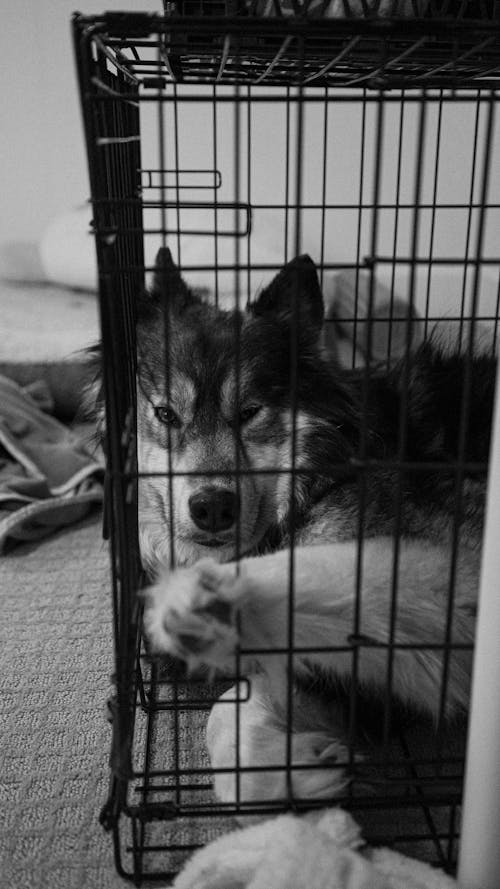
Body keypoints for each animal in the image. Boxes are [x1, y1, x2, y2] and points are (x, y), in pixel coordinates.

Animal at [135, 248, 494, 812]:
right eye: (166, 414)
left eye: (250, 412)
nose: (212, 508)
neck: (324, 473)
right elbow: (230, 716)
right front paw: (304, 772)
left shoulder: (447, 576)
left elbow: (296, 577)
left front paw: (197, 598)